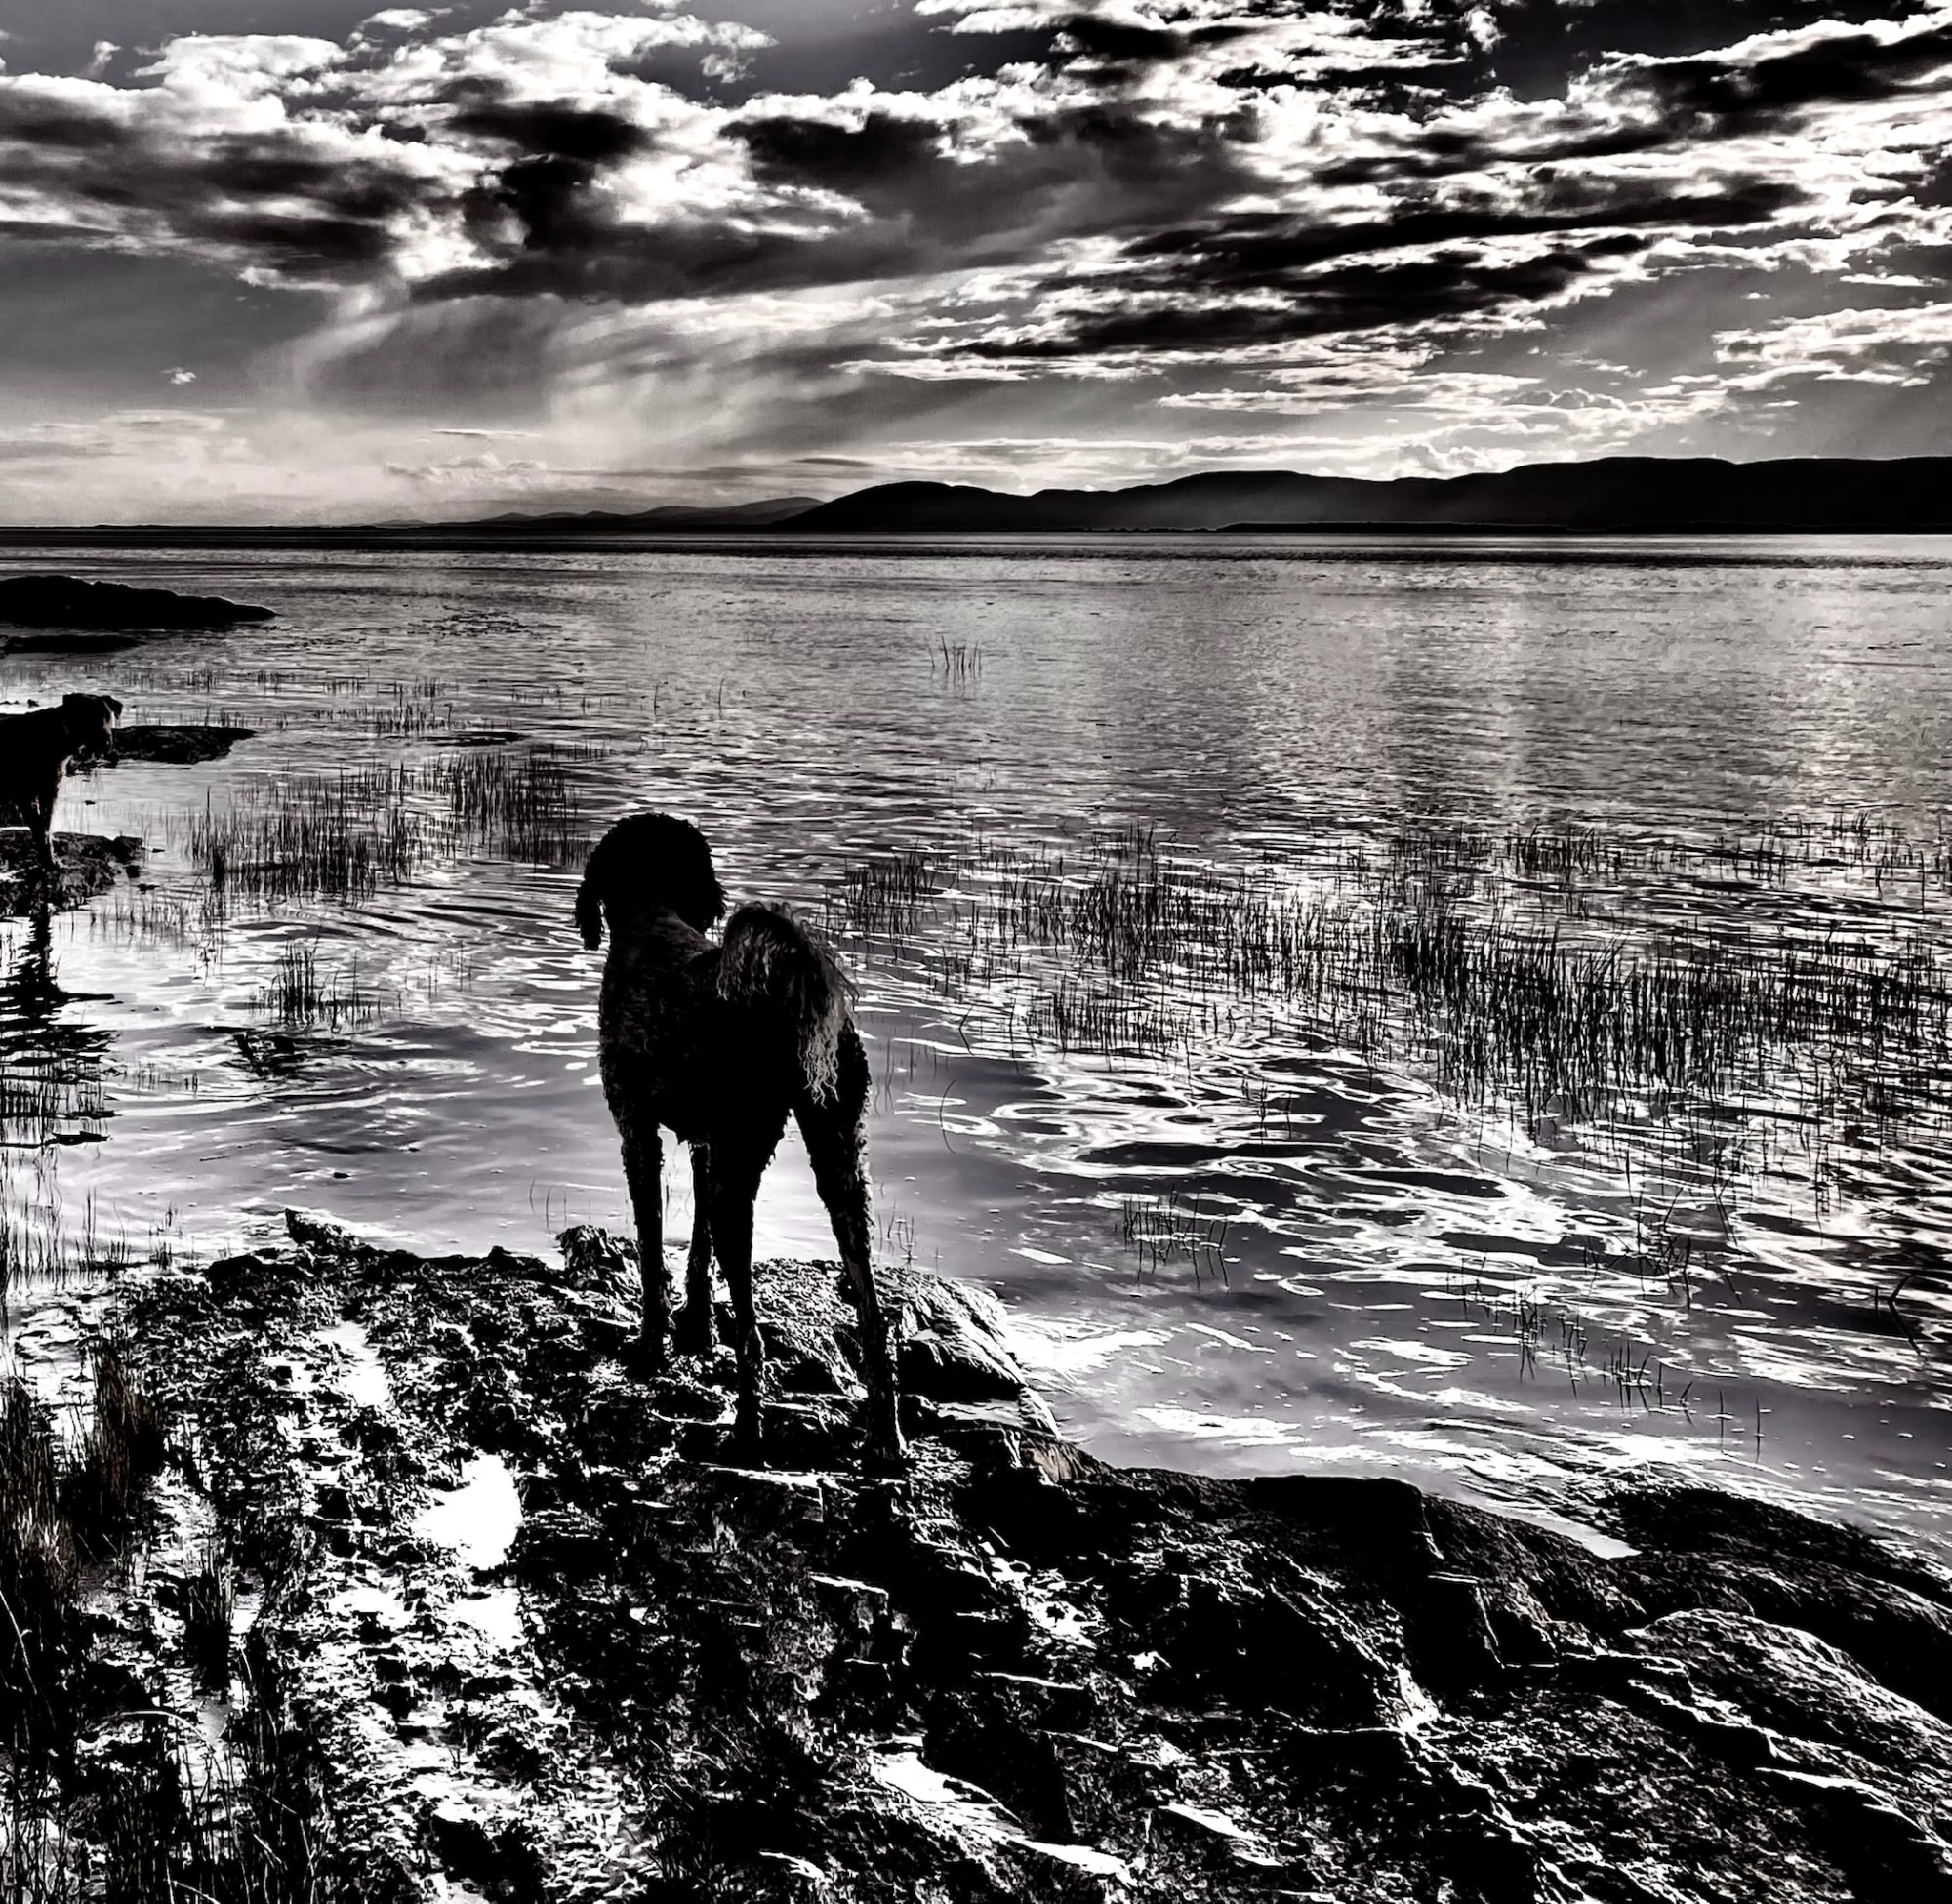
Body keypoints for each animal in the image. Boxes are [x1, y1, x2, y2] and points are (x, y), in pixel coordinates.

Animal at [0, 692, 123, 872]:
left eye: (108, 716)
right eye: (88, 716)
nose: (107, 743)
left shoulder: (49, 792)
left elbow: (47, 827)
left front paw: (50, 860)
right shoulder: (27, 795)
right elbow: (40, 830)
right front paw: (48, 861)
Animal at [575, 812, 905, 1467]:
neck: (651, 917)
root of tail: (780, 998)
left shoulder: (637, 1132)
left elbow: (651, 1248)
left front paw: (651, 1345)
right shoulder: (707, 1144)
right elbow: (695, 1245)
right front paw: (697, 1325)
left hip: (744, 1176)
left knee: (752, 1334)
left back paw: (747, 1430)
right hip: (837, 1157)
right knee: (871, 1312)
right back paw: (884, 1435)